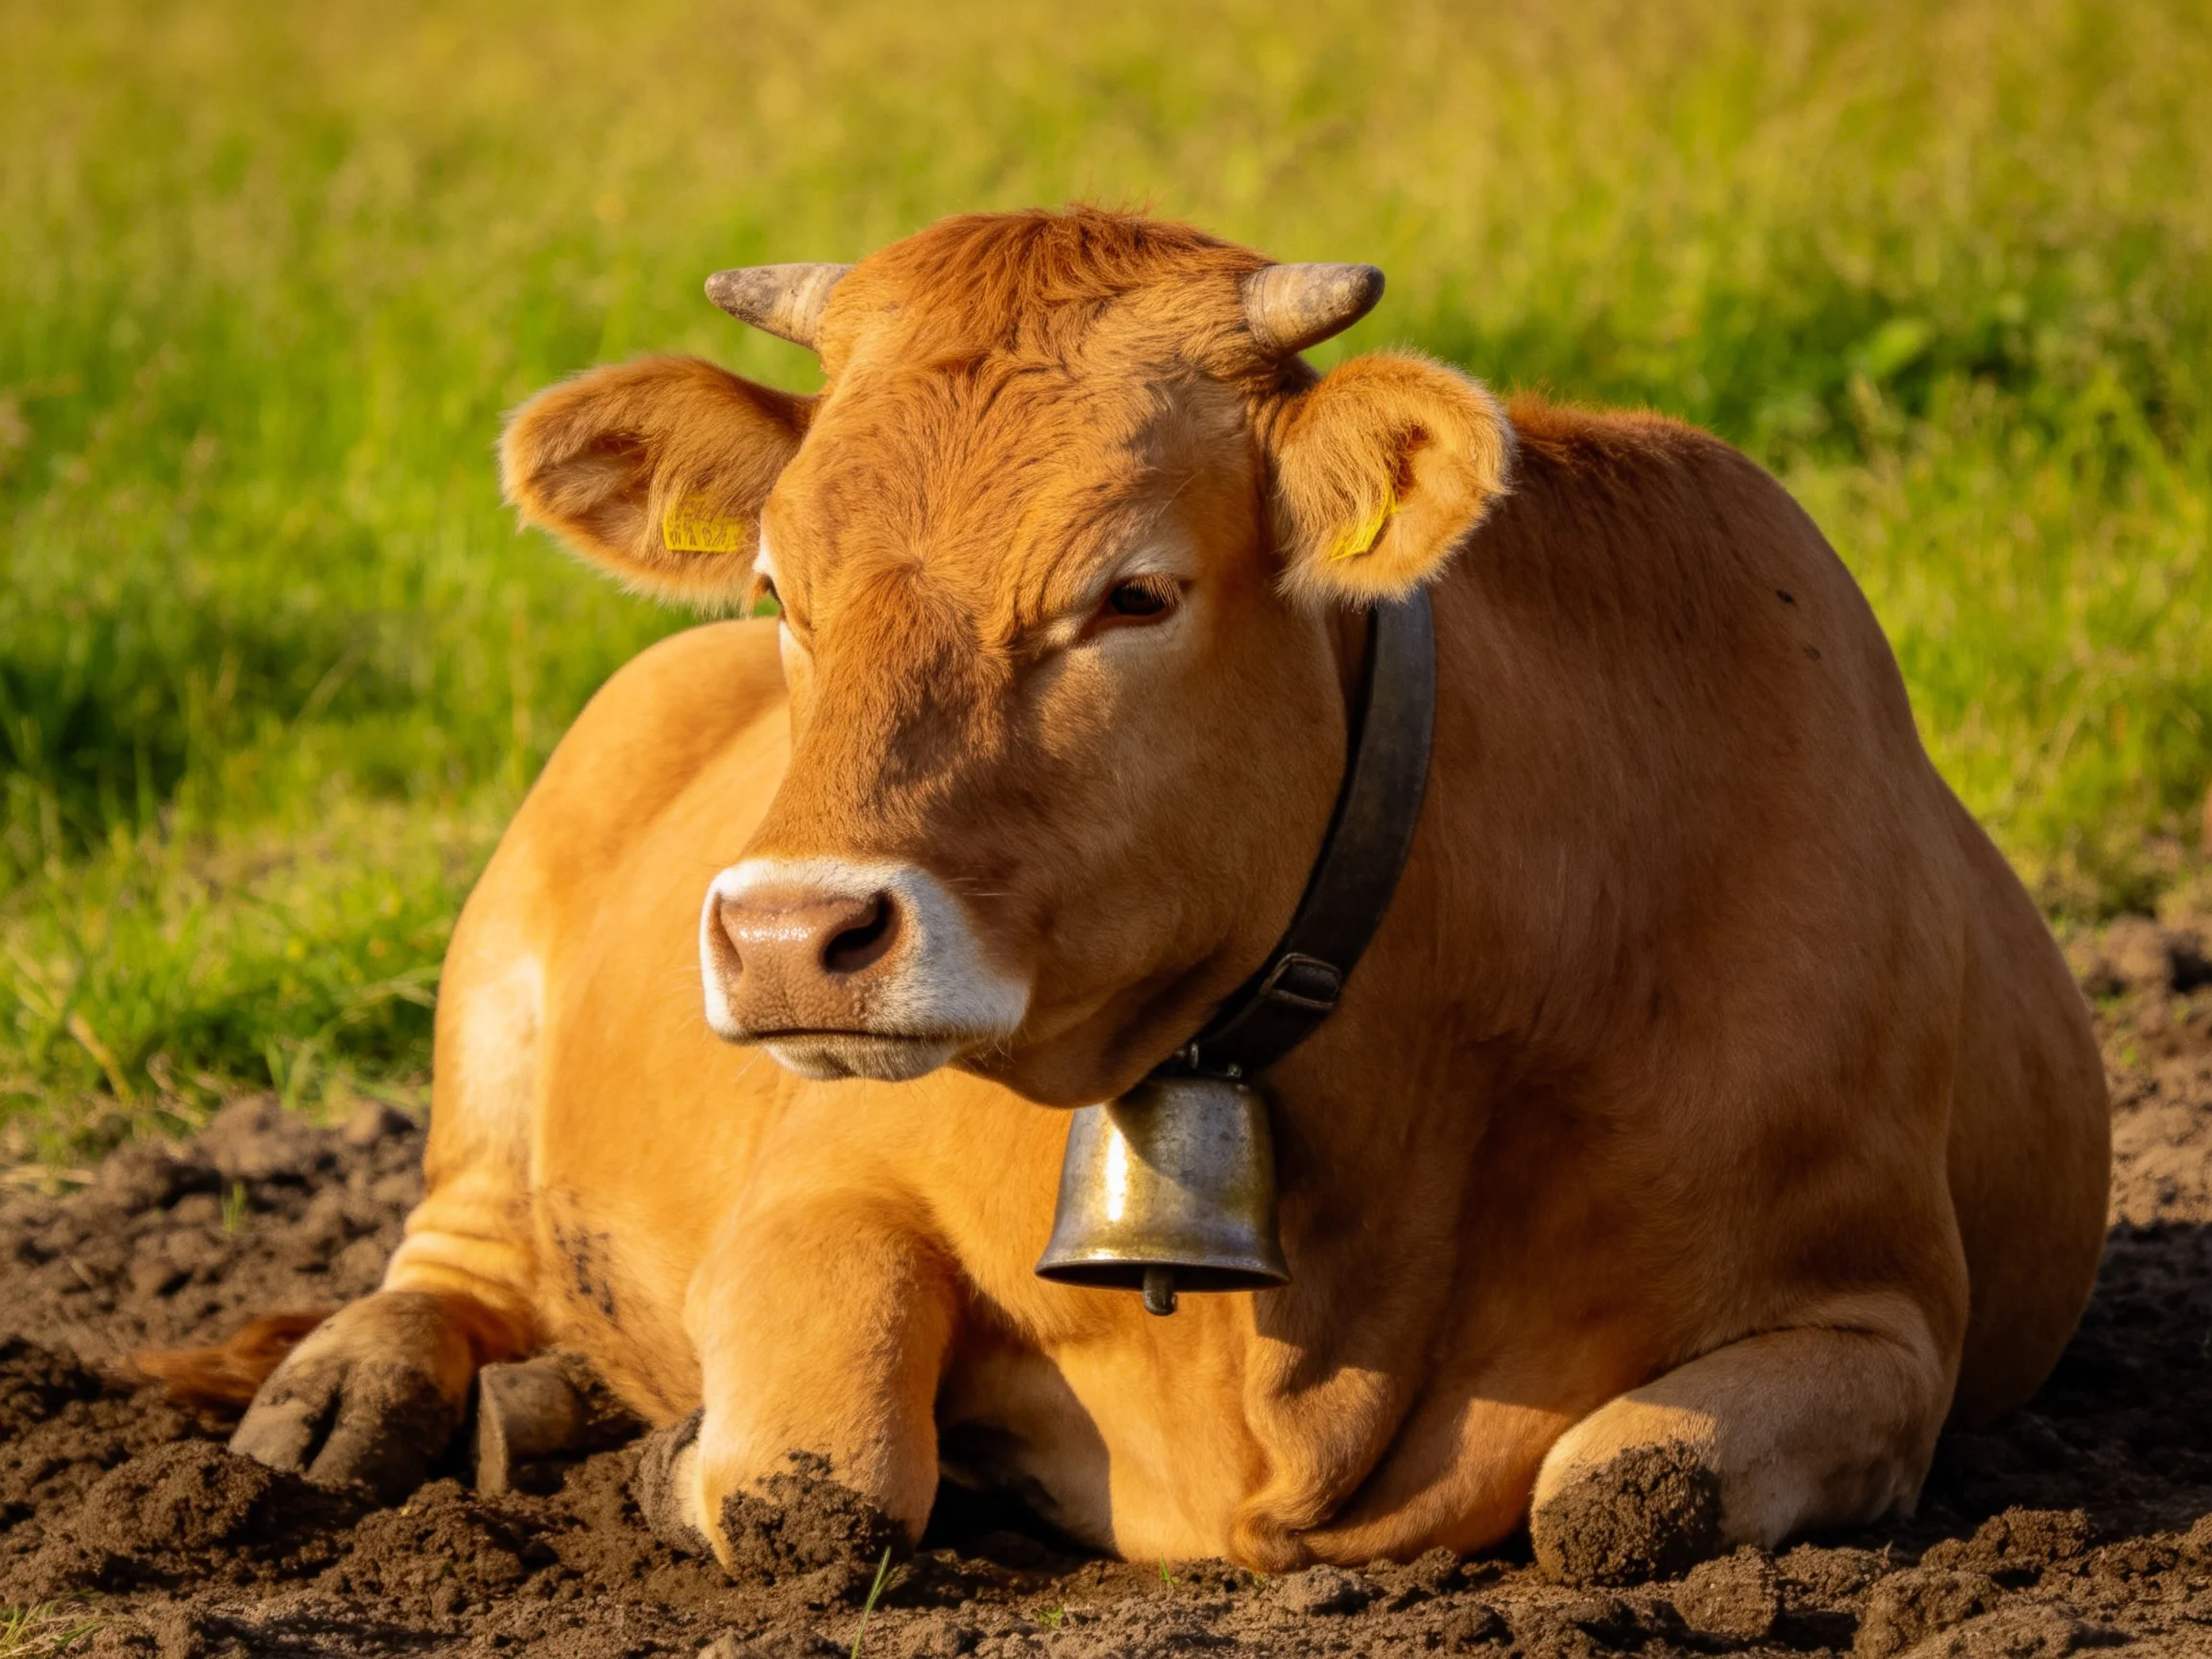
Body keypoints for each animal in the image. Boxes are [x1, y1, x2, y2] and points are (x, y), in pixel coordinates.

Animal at [184, 207, 2109, 1584]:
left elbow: (1619, 1492)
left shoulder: (1884, 1315)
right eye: (779, 582)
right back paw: (362, 1392)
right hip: (496, 982)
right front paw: (686, 1459)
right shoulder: (820, 1182)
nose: (791, 936)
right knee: (461, 1241)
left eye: (1133, 592)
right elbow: (816, 1484)